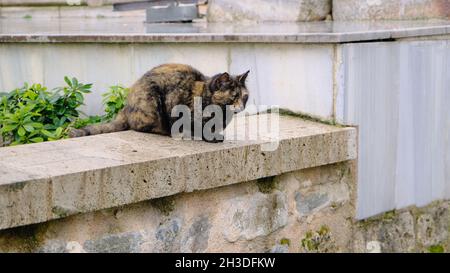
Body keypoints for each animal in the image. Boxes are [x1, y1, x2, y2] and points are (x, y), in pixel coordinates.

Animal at [69, 62, 250, 141]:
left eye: (244, 97)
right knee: (143, 127)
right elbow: (192, 126)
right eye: (233, 96)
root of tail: (126, 107)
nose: (241, 107)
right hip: (152, 100)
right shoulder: (175, 102)